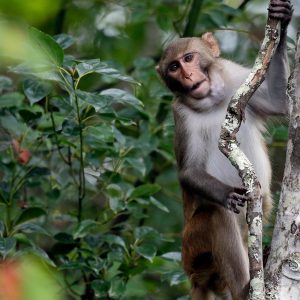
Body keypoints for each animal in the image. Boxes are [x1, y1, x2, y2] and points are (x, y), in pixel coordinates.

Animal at [156, 1, 292, 298]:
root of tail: (196, 278)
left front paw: (283, 19)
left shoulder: (236, 76)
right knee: (216, 216)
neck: (212, 100)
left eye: (189, 58)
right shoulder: (181, 115)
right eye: (173, 67)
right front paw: (227, 194)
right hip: (193, 248)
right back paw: (244, 288)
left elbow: (279, 101)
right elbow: (189, 171)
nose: (187, 75)